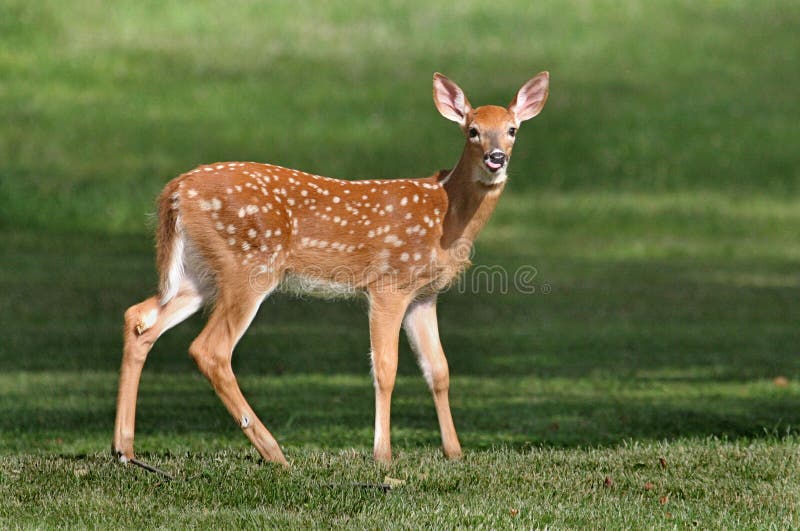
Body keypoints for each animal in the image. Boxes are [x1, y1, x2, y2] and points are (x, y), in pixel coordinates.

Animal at [112, 70, 552, 470]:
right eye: (472, 131)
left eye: (512, 130)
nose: (497, 158)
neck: (445, 212)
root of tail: (175, 191)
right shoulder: (388, 283)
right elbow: (386, 368)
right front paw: (383, 456)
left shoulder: (424, 294)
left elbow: (438, 369)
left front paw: (455, 453)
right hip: (249, 266)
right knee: (210, 349)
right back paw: (275, 453)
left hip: (199, 273)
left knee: (140, 318)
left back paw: (124, 450)